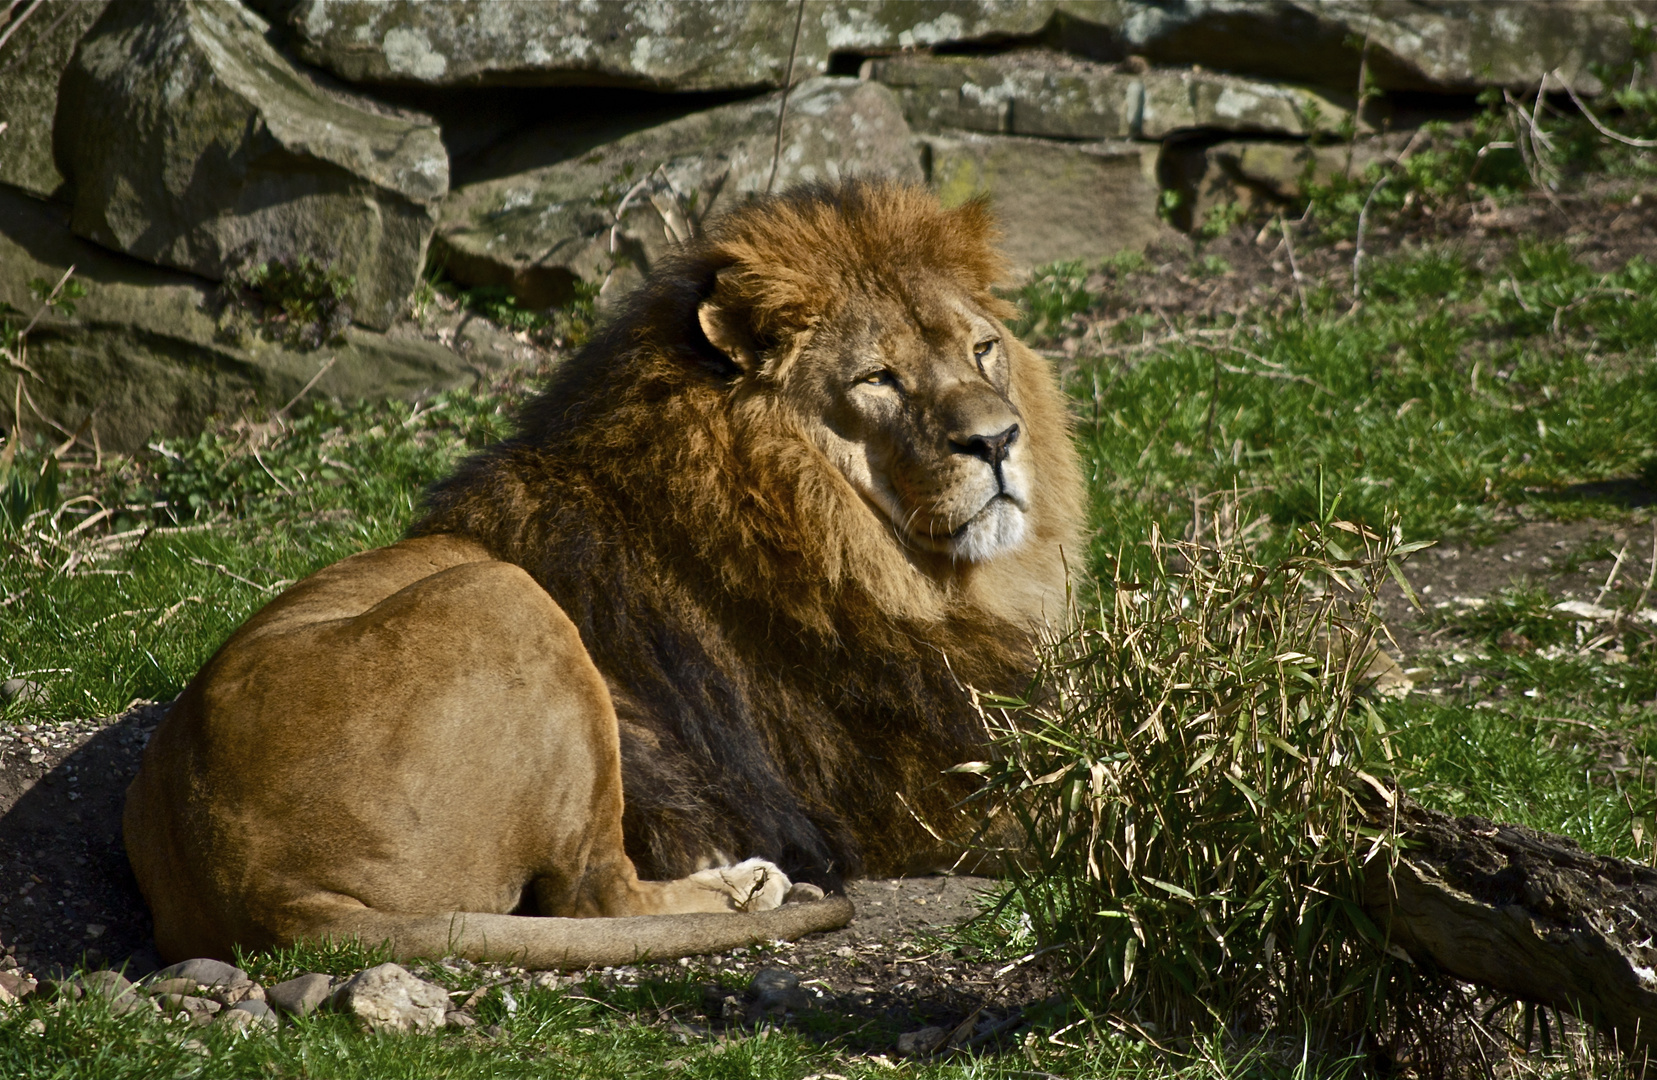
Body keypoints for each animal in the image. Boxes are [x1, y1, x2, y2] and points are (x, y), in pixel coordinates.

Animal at [125, 181, 1086, 967]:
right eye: (879, 378)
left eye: (983, 349)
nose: (998, 440)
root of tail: (257, 888)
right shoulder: (925, 793)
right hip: (509, 601)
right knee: (595, 892)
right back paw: (748, 887)